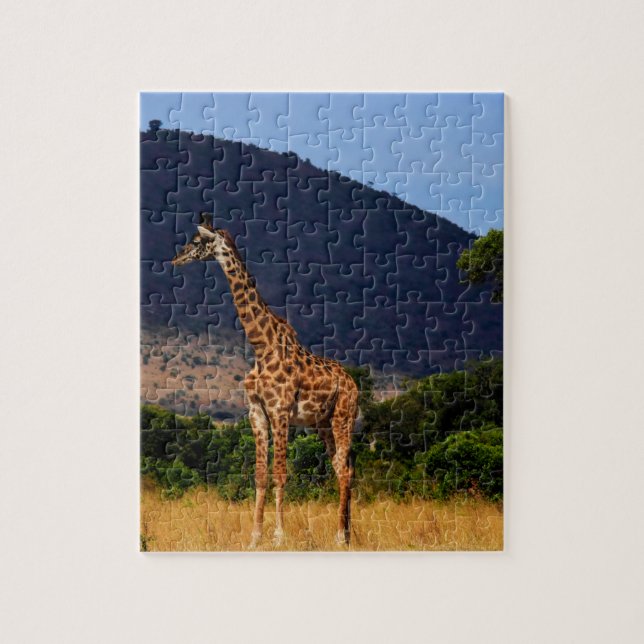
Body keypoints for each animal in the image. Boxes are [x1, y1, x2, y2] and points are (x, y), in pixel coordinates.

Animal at [171, 214, 359, 547]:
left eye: (196, 241)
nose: (175, 259)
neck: (262, 345)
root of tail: (354, 384)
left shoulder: (280, 411)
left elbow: (280, 473)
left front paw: (279, 537)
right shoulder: (257, 412)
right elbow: (260, 475)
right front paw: (254, 537)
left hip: (343, 416)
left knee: (345, 470)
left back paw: (340, 536)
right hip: (323, 423)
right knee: (341, 467)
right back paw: (347, 534)